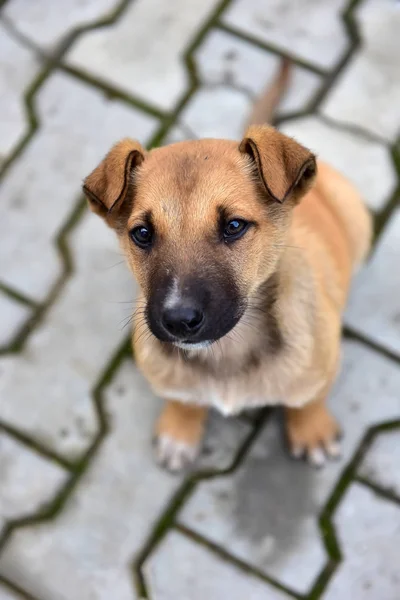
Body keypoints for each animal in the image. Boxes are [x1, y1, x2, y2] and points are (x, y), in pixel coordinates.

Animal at [83, 61, 374, 474]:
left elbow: (309, 398)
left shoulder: (322, 365)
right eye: (142, 233)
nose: (178, 321)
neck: (228, 351)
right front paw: (181, 428)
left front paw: (311, 429)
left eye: (234, 226)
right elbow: (182, 397)